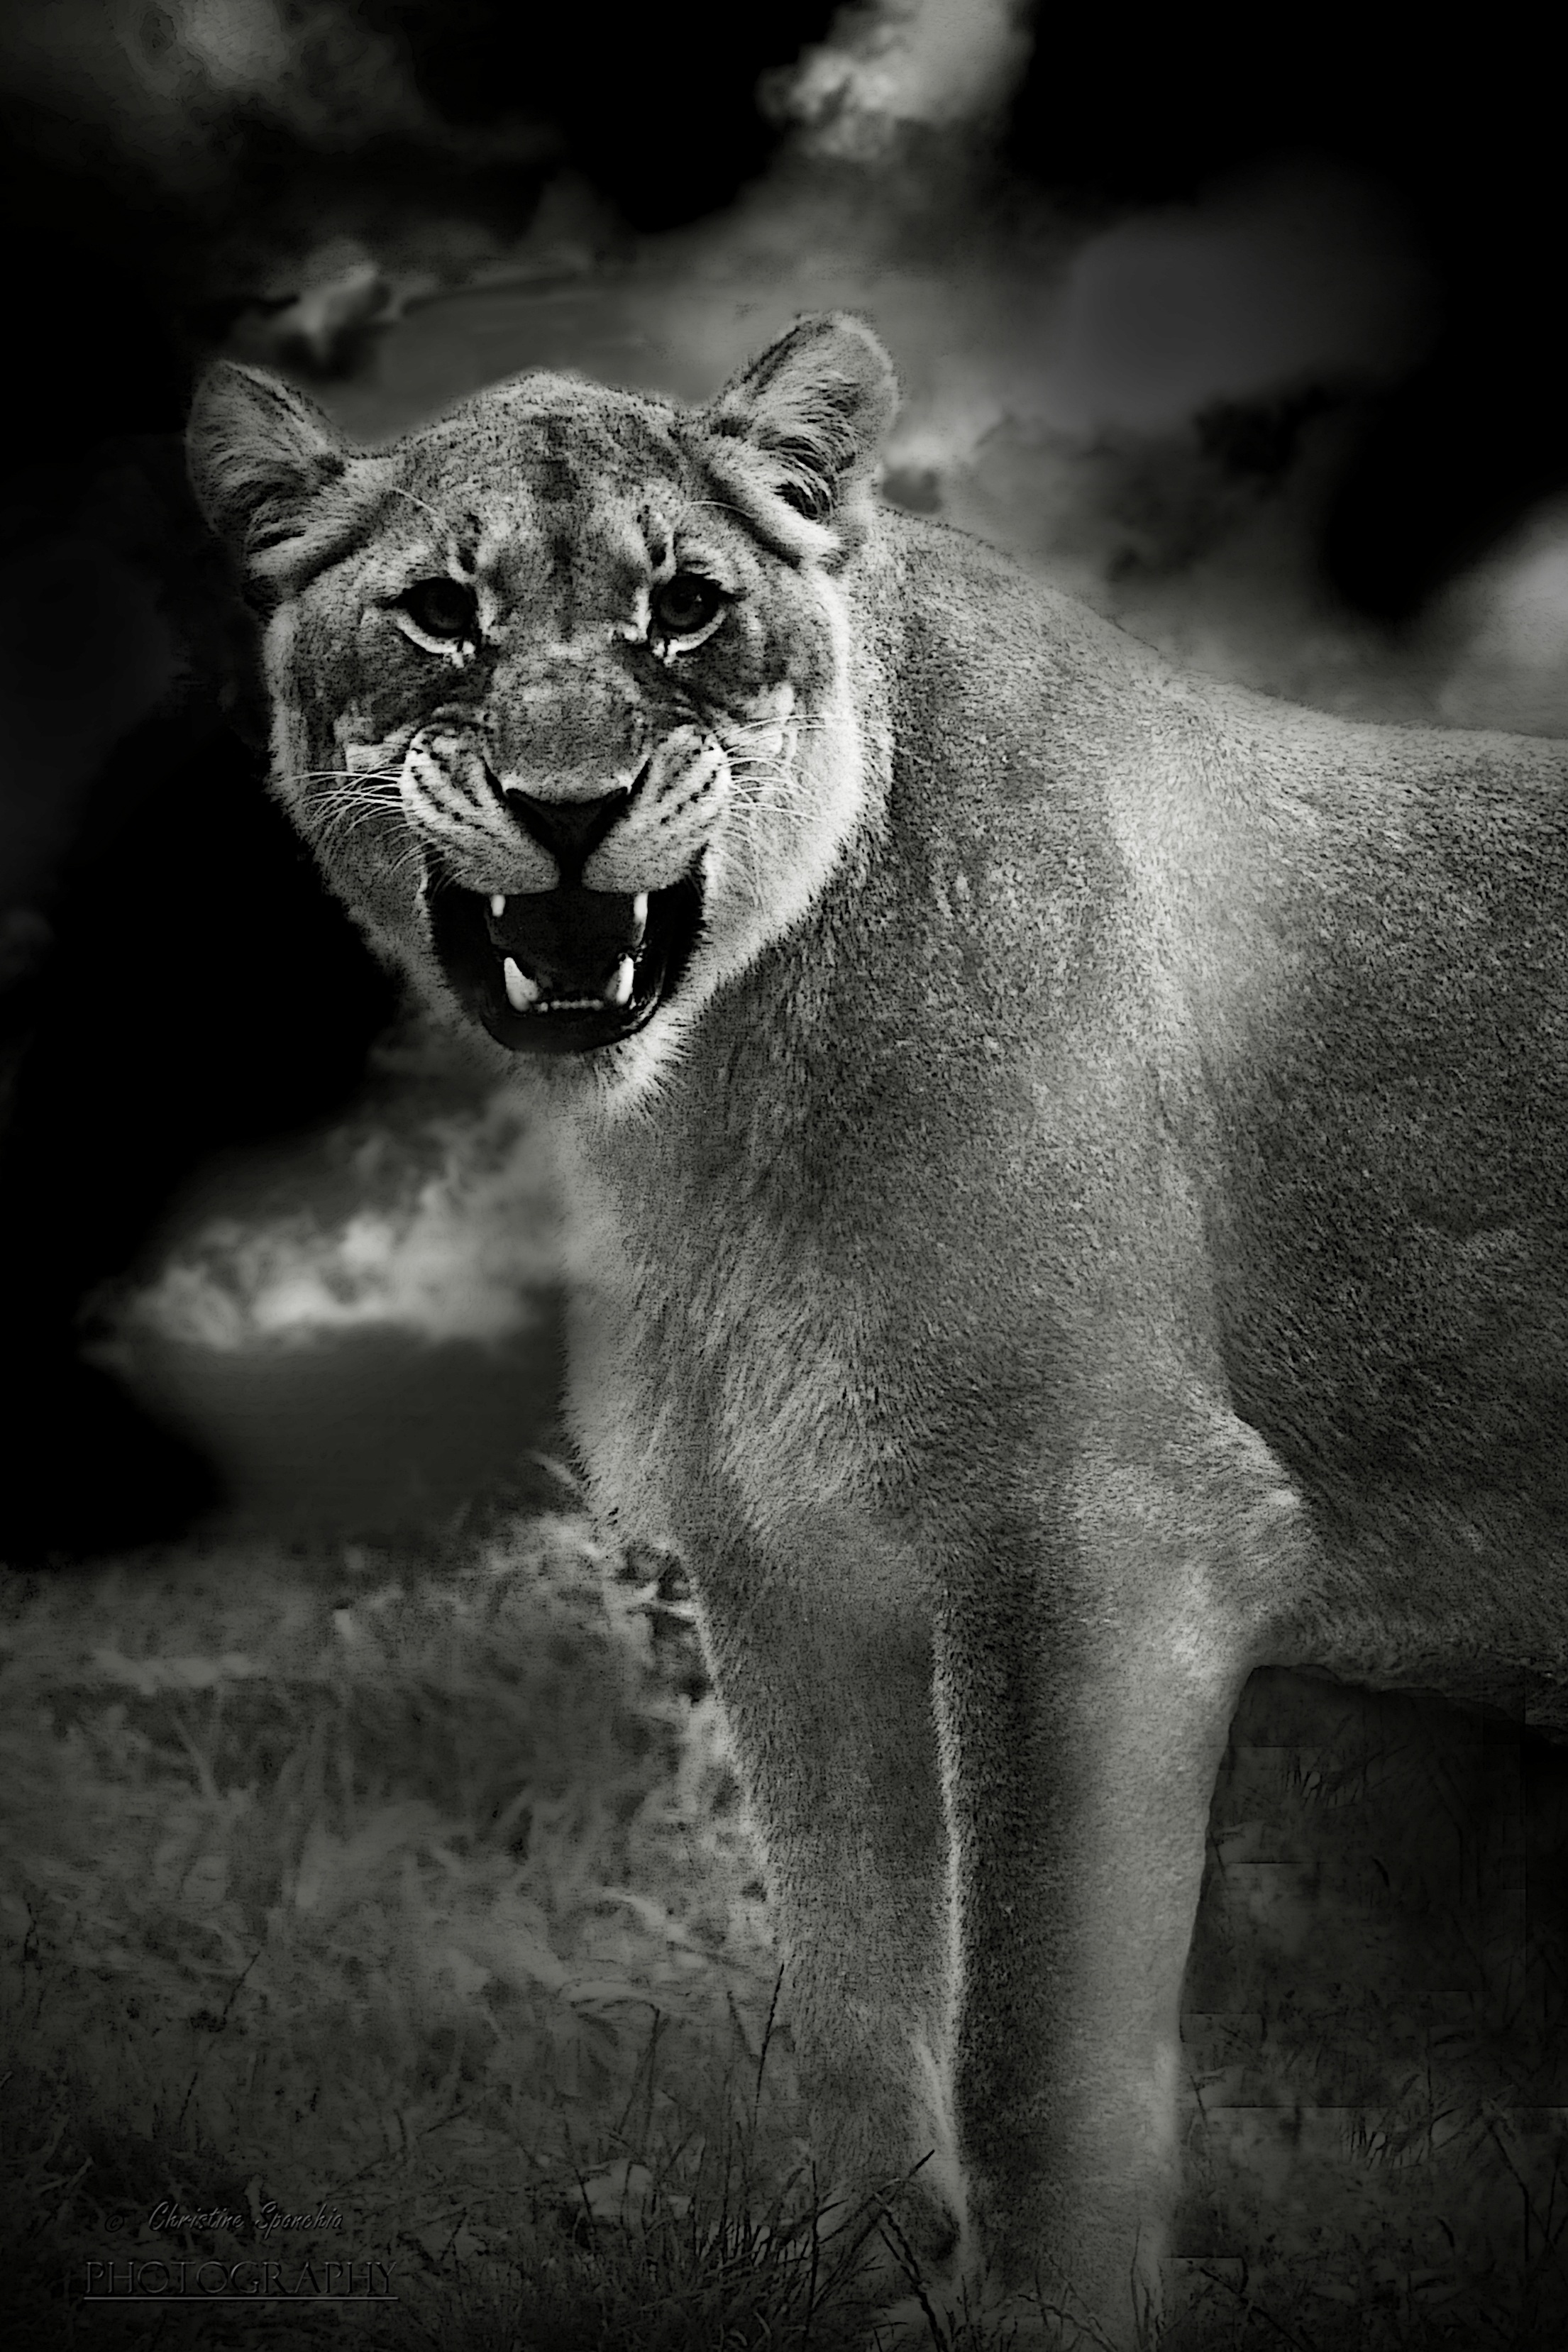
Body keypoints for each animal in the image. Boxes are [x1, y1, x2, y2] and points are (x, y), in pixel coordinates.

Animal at [187, 314, 1568, 2346]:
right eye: (443, 611)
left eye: (683, 606)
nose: (569, 813)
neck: (721, 1081)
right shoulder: (782, 1552)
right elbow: (849, 1980)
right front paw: (862, 2271)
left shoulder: (1107, 1533)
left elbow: (1032, 2045)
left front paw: (1046, 2315)